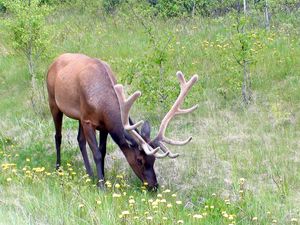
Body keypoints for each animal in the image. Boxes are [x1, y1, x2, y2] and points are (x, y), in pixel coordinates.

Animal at [45, 53, 198, 190]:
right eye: (139, 160)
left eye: (153, 160)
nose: (154, 186)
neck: (102, 103)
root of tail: (54, 60)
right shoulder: (88, 121)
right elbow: (97, 154)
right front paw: (101, 186)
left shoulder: (101, 125)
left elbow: (103, 151)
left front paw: (102, 179)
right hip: (53, 101)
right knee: (58, 136)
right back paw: (58, 168)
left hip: (78, 117)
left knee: (80, 140)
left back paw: (90, 174)